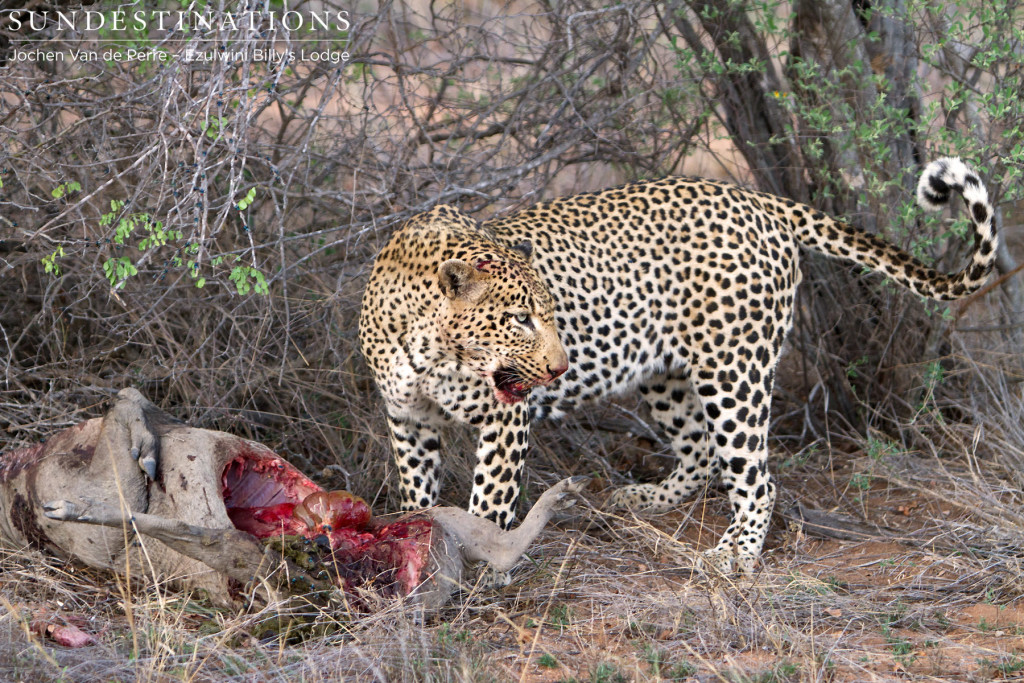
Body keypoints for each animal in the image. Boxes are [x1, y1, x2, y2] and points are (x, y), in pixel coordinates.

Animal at [358, 158, 991, 573]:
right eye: (519, 318)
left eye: (550, 314)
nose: (560, 368)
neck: (428, 343)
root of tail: (757, 198)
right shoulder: (407, 419)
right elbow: (418, 495)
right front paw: (416, 549)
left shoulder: (503, 421)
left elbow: (489, 506)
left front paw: (482, 568)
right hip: (665, 373)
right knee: (702, 450)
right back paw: (642, 501)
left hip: (733, 369)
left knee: (756, 477)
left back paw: (734, 556)